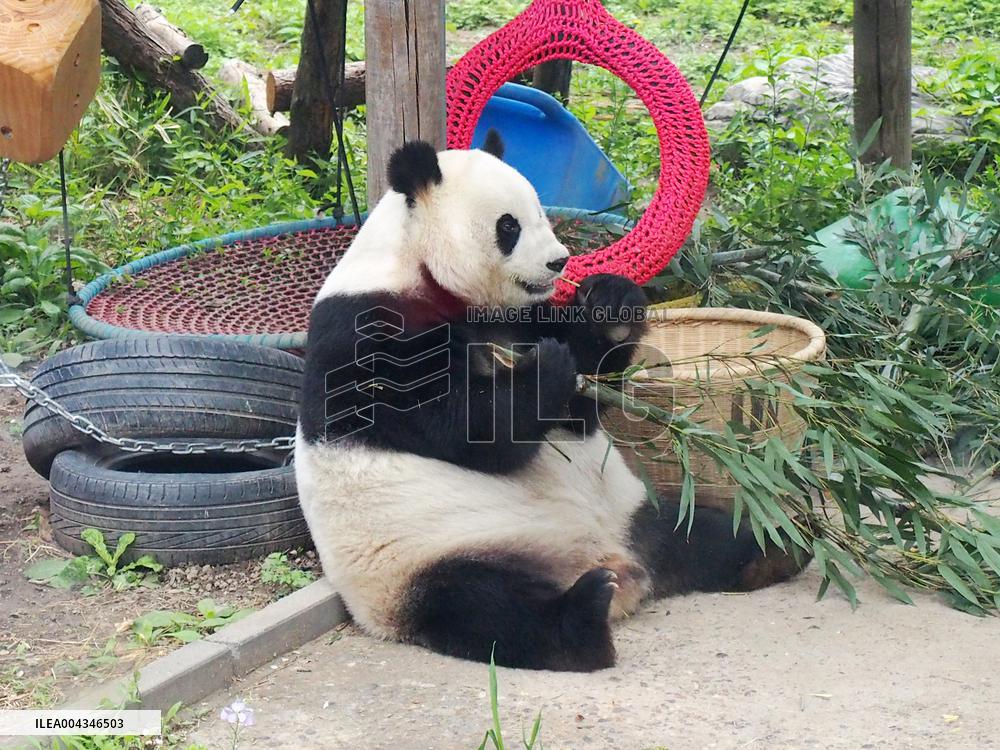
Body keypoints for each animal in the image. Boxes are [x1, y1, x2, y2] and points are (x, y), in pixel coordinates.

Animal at [295, 133, 807, 672]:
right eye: (509, 226)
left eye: (542, 211)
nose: (560, 262)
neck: (421, 270)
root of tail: (620, 564)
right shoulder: (370, 332)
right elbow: (464, 428)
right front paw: (546, 370)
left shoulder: (521, 318)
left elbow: (578, 410)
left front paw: (610, 303)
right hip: (425, 556)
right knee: (487, 607)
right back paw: (582, 617)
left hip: (637, 509)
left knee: (708, 531)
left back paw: (782, 543)